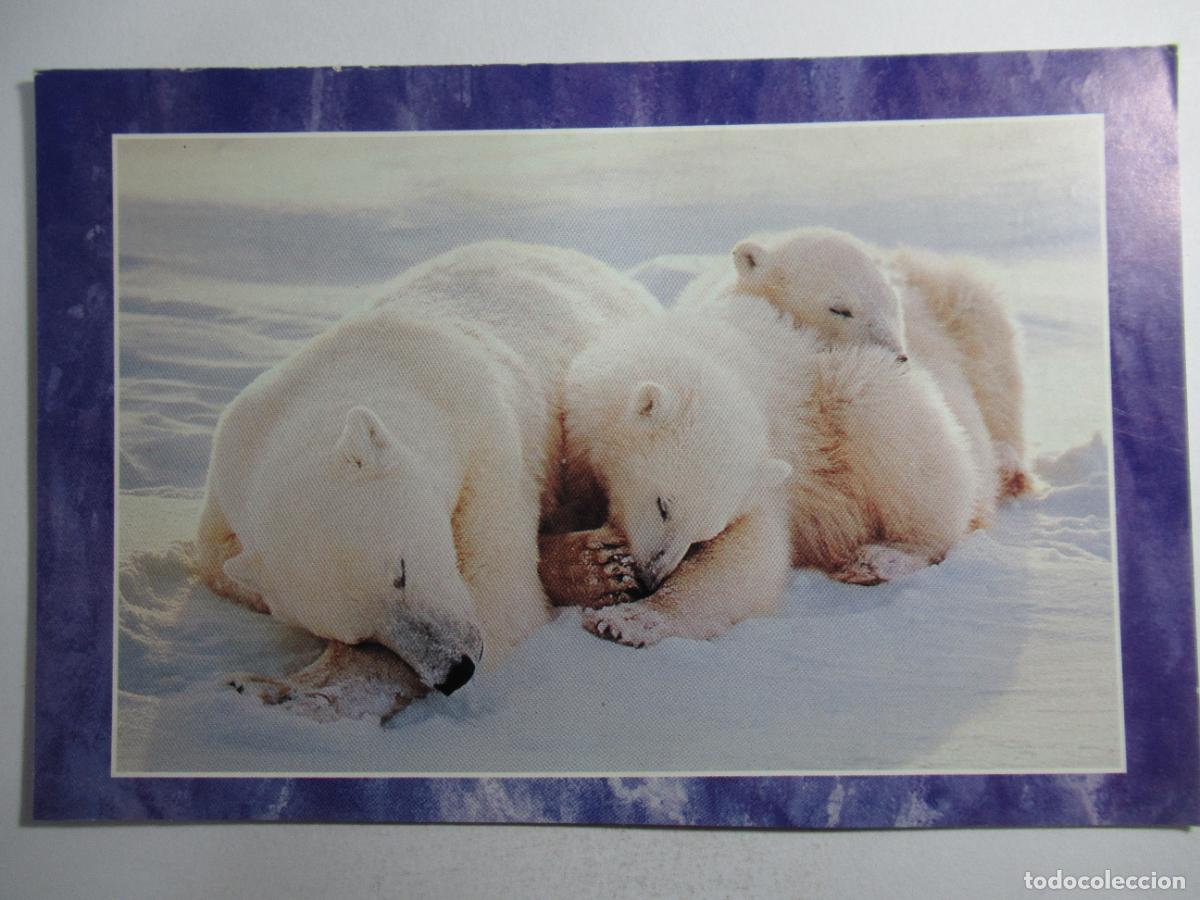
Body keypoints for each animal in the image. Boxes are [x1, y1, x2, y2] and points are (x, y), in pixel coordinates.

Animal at [197, 241, 659, 716]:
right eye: (359, 633)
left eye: (400, 571)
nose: (456, 670)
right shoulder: (230, 470)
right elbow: (216, 562)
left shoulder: (484, 439)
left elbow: (498, 593)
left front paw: (299, 692)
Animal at [564, 284, 990, 648]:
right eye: (663, 505)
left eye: (702, 535)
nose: (650, 576)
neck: (706, 353)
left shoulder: (772, 471)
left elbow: (753, 554)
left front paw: (623, 621)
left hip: (854, 403)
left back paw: (878, 559)